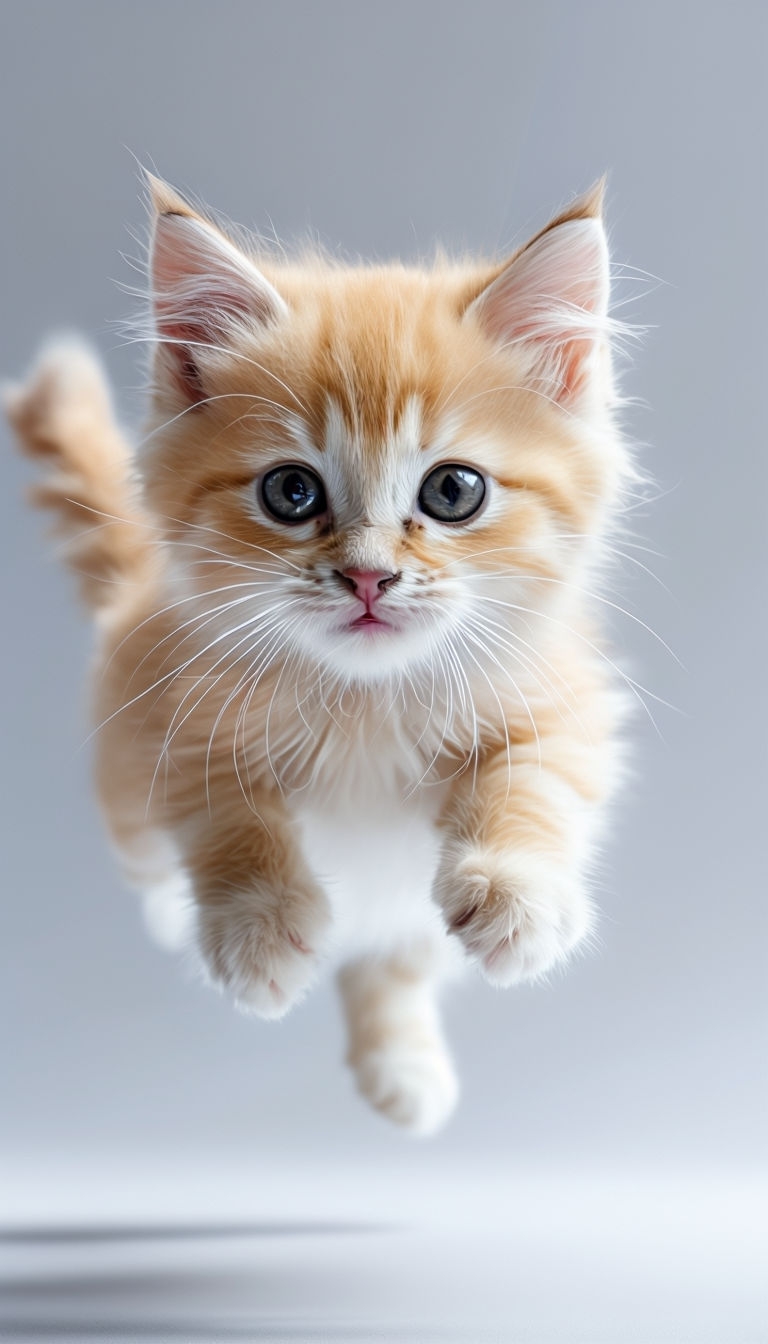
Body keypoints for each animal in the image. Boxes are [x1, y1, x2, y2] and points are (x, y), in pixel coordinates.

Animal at [7, 170, 632, 1134]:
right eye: (291, 493)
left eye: (453, 491)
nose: (369, 578)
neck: (365, 701)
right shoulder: (168, 710)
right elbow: (224, 806)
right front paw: (258, 930)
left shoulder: (565, 698)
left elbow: (535, 776)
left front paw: (517, 895)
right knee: (143, 850)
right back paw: (168, 907)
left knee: (395, 954)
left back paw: (404, 1070)